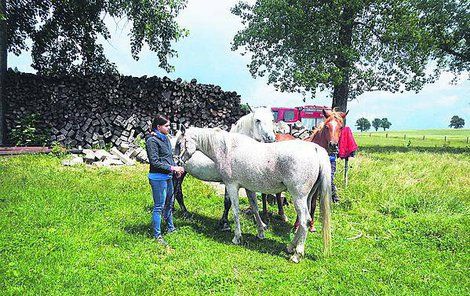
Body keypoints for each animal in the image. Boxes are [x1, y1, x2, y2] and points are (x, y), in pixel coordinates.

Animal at [177, 128, 334, 262]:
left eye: (179, 143)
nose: (178, 162)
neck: (227, 149)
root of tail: (315, 149)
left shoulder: (232, 186)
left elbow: (235, 211)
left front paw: (237, 237)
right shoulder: (248, 188)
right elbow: (255, 208)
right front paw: (261, 232)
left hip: (298, 197)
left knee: (304, 221)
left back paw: (296, 255)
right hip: (307, 197)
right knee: (303, 222)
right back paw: (290, 247)